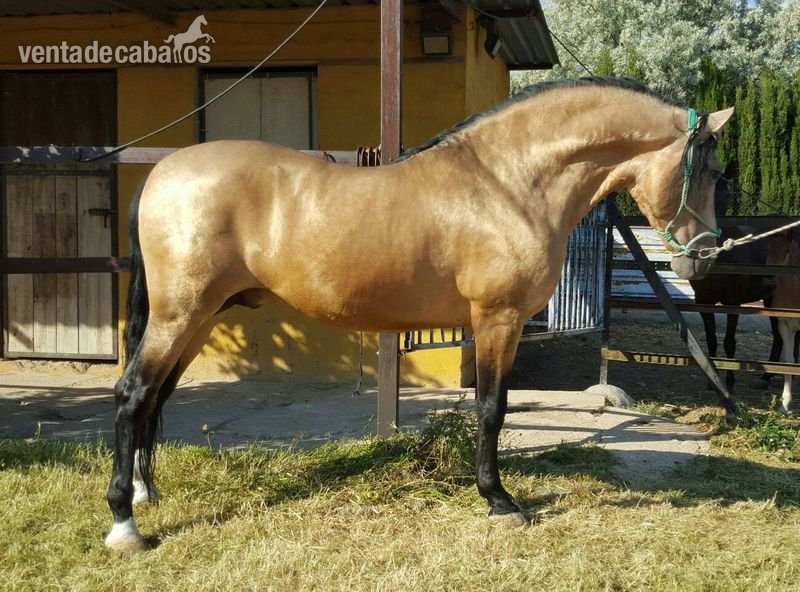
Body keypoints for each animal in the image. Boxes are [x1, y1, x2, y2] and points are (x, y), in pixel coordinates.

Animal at [104, 77, 733, 554]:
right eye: (707, 173)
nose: (704, 258)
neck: (508, 184)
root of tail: (162, 174)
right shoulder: (497, 320)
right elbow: (491, 409)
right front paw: (499, 500)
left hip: (198, 318)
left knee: (157, 395)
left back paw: (146, 493)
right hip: (179, 315)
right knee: (134, 393)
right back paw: (124, 523)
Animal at [689, 178, 782, 392]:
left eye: (726, 195)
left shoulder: (733, 303)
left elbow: (729, 342)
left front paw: (730, 383)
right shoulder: (703, 303)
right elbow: (711, 340)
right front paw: (713, 381)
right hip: (772, 299)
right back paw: (768, 377)